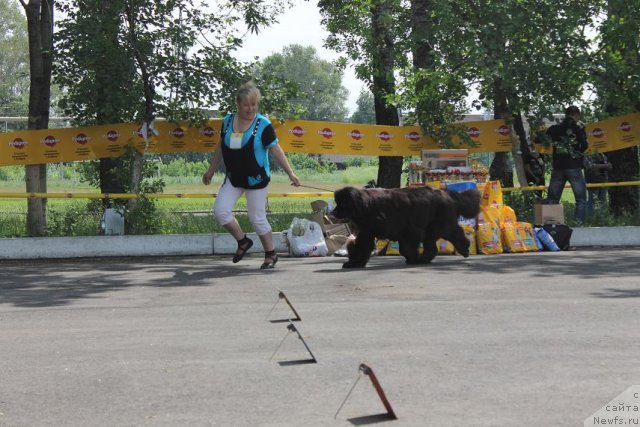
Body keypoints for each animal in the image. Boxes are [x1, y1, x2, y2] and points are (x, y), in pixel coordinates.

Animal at [330, 186, 480, 268]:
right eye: (337, 202)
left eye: (342, 204)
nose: (332, 212)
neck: (367, 207)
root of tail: (448, 193)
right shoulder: (367, 232)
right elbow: (362, 247)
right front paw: (355, 263)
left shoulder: (409, 230)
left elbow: (406, 248)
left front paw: (413, 258)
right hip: (432, 229)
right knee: (434, 245)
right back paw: (425, 259)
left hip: (440, 224)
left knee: (454, 233)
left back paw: (465, 248)